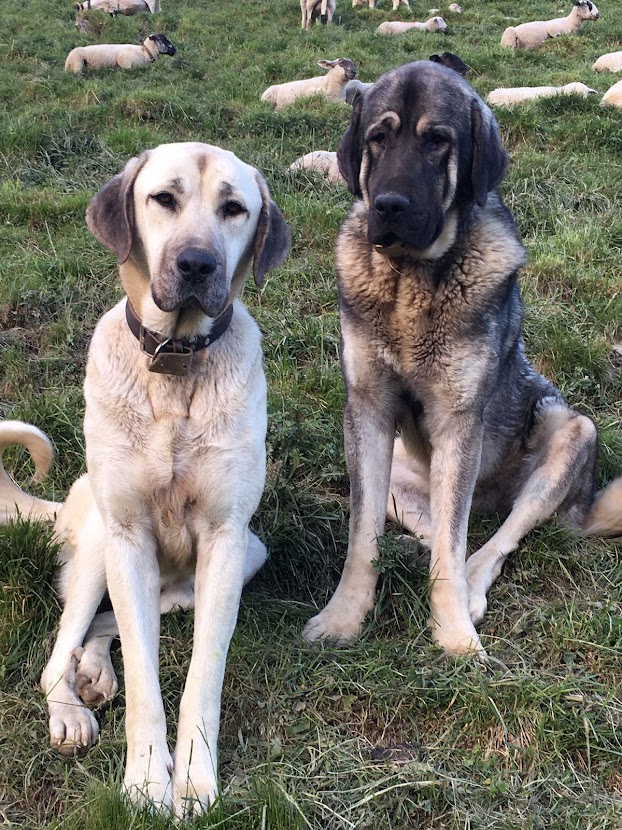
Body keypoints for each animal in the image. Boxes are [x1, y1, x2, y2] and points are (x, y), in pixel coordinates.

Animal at [0, 141, 292, 820]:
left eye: (234, 208)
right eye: (163, 198)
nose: (197, 263)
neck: (175, 366)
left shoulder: (226, 542)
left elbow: (200, 677)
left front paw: (194, 781)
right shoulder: (129, 537)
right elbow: (145, 681)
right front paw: (144, 784)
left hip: (242, 557)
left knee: (104, 630)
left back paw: (94, 670)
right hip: (100, 546)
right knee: (61, 652)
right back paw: (71, 707)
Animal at [304, 60, 622, 656]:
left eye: (438, 142)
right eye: (377, 139)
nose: (389, 206)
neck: (409, 280)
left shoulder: (459, 422)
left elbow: (454, 549)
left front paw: (453, 633)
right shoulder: (367, 413)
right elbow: (363, 537)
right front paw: (343, 618)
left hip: (572, 434)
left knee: (492, 537)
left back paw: (472, 590)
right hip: (398, 478)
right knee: (437, 529)